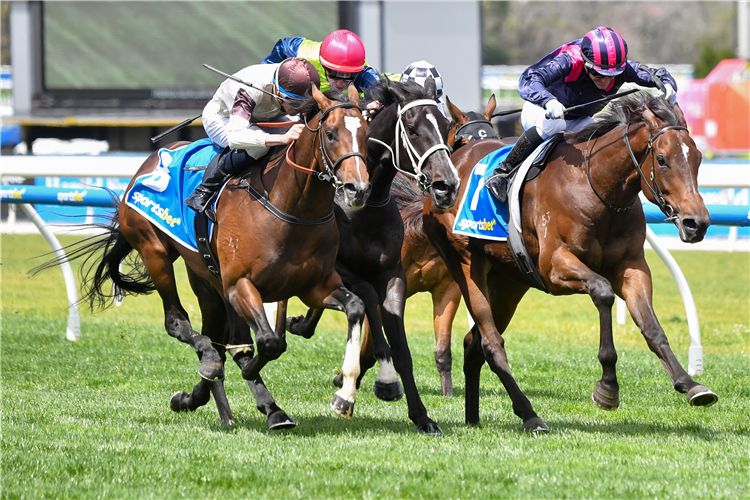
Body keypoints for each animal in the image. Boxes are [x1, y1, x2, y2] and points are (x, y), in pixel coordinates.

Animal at [65, 85, 374, 426]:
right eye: (330, 134)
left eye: (367, 133)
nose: (358, 188)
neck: (292, 209)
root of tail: (149, 162)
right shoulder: (240, 285)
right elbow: (267, 343)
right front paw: (249, 373)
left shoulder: (314, 286)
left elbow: (355, 308)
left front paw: (344, 396)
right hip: (155, 251)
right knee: (180, 323)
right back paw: (221, 375)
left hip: (206, 280)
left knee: (216, 337)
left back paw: (219, 401)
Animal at [284, 78, 458, 434]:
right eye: (411, 128)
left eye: (446, 126)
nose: (446, 185)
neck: (365, 208)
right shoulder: (340, 268)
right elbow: (368, 301)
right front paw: (380, 383)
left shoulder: (394, 275)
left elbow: (400, 345)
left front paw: (421, 415)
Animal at [424, 93, 716, 430]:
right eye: (663, 159)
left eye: (698, 158)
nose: (697, 224)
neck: (596, 187)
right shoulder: (554, 266)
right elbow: (602, 291)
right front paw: (608, 387)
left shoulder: (631, 267)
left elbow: (652, 327)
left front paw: (690, 384)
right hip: (465, 264)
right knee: (490, 343)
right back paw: (530, 415)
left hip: (509, 282)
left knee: (473, 345)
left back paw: (474, 418)